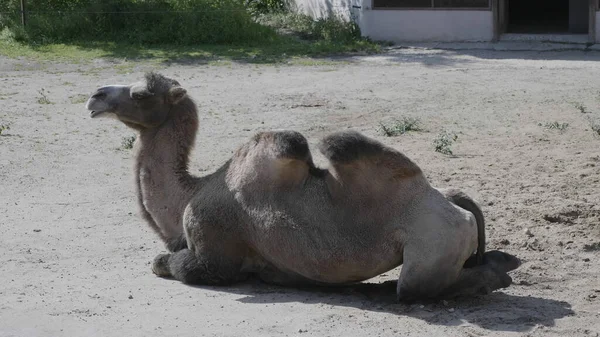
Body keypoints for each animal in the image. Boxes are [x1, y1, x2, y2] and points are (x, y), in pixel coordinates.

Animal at [85, 71, 520, 300]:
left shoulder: (212, 253)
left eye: (141, 92)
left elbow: (167, 264)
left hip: (430, 245)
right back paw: (505, 260)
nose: (95, 96)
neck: (190, 195)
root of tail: (450, 203)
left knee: (415, 287)